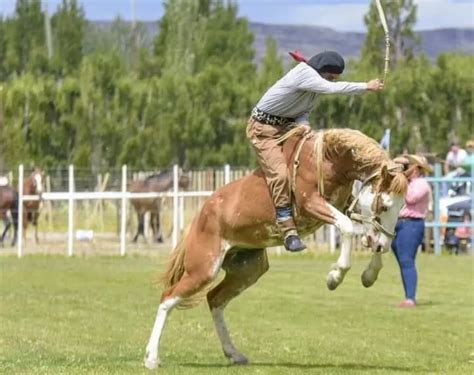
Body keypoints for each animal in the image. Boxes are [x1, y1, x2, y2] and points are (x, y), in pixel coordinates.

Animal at [143, 128, 408, 368]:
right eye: (384, 205)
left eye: (401, 207)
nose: (383, 242)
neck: (328, 159)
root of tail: (202, 214)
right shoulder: (312, 203)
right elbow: (348, 228)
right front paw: (335, 275)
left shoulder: (344, 205)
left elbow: (364, 233)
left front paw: (370, 273)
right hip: (203, 269)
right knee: (168, 298)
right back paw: (151, 358)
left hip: (248, 270)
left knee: (214, 299)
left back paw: (234, 353)